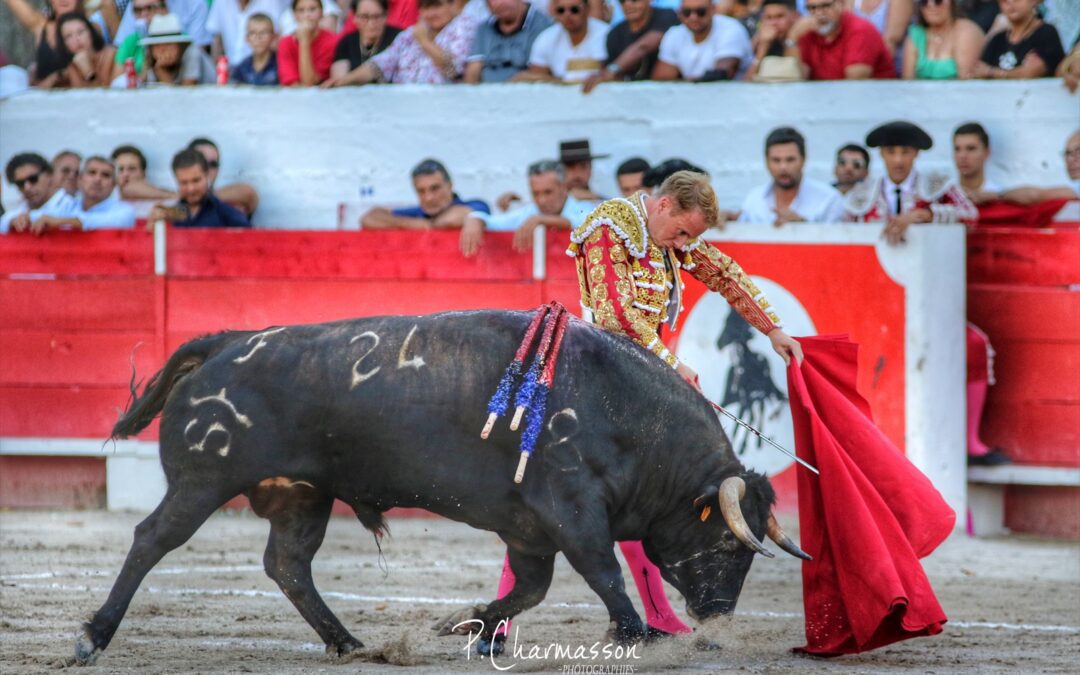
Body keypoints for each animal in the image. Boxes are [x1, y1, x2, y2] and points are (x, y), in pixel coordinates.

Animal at [76, 308, 807, 665]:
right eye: (730, 543)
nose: (717, 619)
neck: (629, 416)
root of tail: (230, 341)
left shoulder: (530, 528)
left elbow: (530, 587)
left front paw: (469, 625)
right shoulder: (571, 508)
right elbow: (603, 572)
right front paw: (637, 632)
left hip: (303, 495)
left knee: (287, 564)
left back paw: (349, 643)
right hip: (203, 481)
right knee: (151, 539)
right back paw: (92, 638)